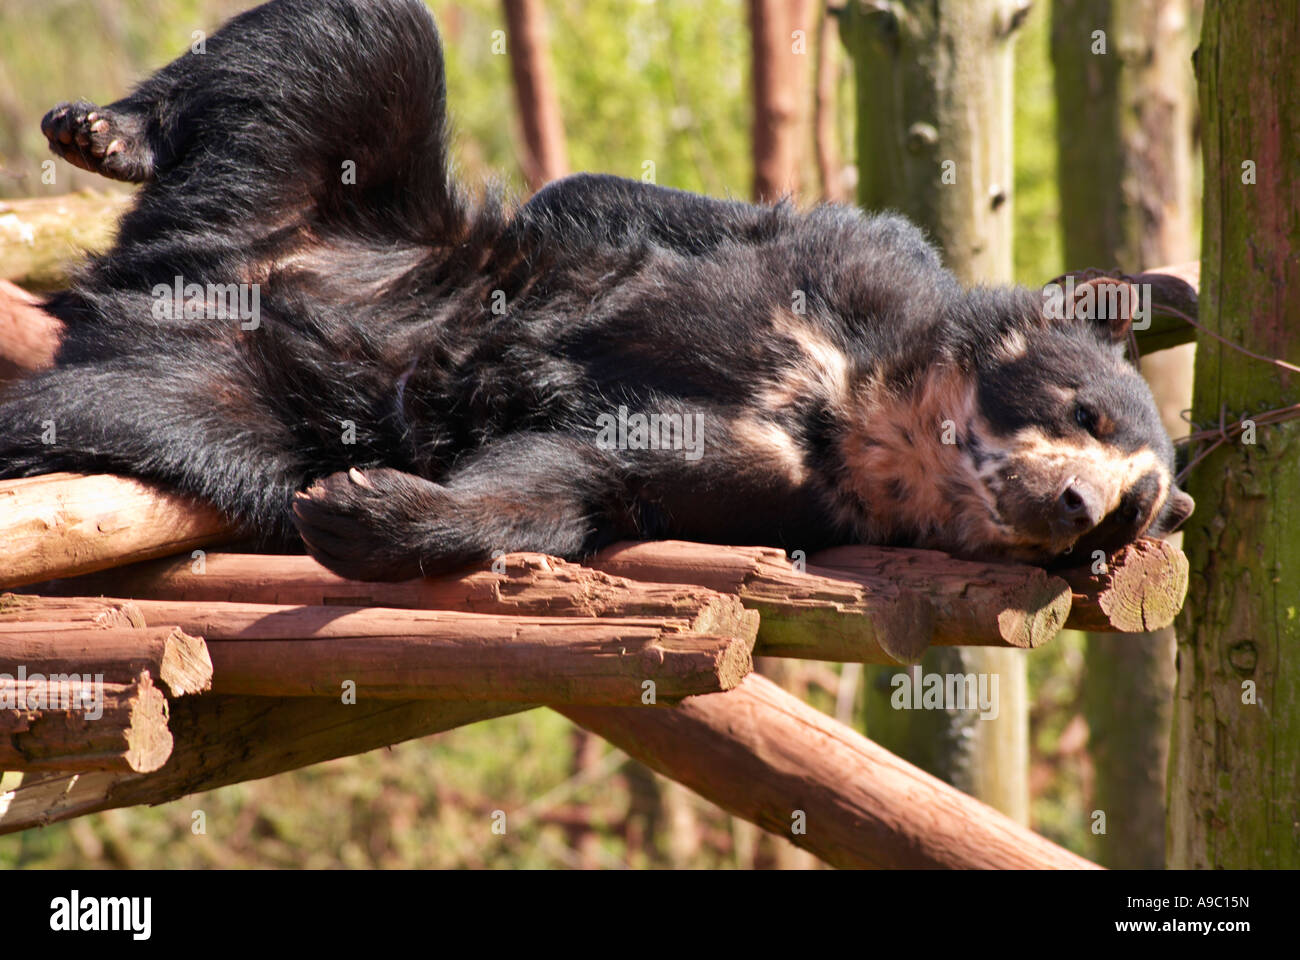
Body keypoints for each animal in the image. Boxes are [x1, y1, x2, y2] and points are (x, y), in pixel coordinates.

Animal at [0, 0, 1193, 582]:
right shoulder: (834, 263)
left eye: (1126, 515)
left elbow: (575, 480)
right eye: (1086, 411)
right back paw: (103, 130)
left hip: (222, 397)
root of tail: (169, 278)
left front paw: (361, 507)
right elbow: (610, 206)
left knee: (105, 413)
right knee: (355, 37)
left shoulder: (776, 489)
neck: (859, 407)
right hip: (322, 195)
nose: (1077, 504)